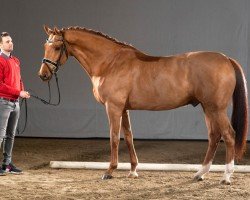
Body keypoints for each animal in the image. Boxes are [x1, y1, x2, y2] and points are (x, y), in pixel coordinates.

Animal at [39, 25, 248, 184]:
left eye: (57, 47)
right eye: (45, 45)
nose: (43, 74)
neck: (109, 62)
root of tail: (226, 59)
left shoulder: (113, 107)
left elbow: (114, 138)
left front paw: (109, 171)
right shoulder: (124, 109)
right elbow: (128, 137)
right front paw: (133, 170)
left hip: (216, 109)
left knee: (229, 135)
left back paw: (226, 176)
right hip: (207, 108)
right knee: (214, 136)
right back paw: (199, 174)